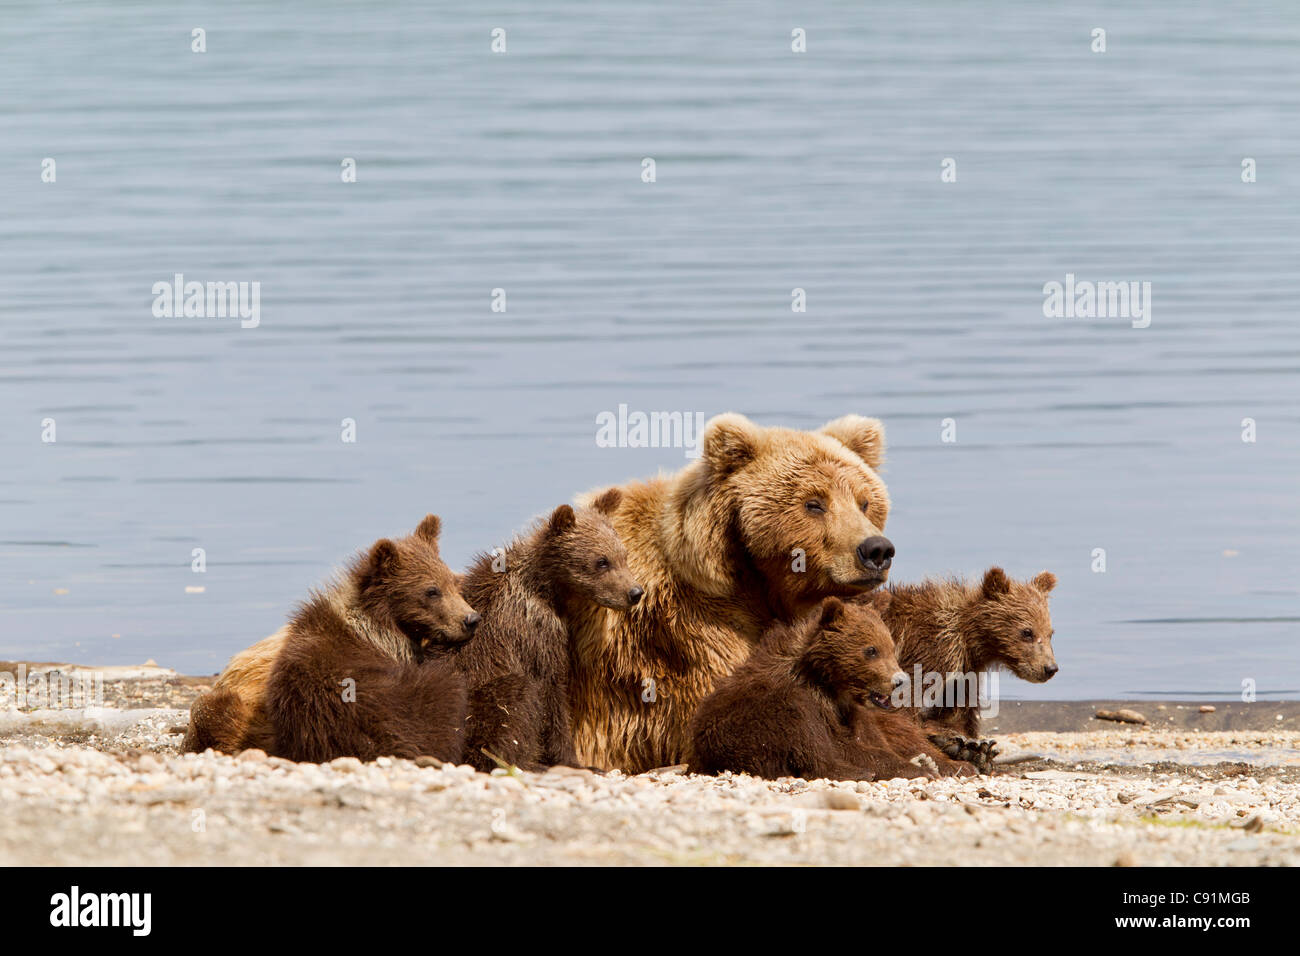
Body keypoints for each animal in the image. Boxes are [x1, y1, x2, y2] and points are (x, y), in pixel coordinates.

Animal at [447, 492, 643, 772]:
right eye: (601, 561)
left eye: (623, 555)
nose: (635, 592)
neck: (548, 589)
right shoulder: (537, 631)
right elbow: (551, 691)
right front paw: (576, 761)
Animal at [688, 595, 974, 781]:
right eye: (871, 650)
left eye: (891, 647)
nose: (899, 680)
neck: (829, 683)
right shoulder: (814, 703)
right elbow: (843, 745)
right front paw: (914, 768)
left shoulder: (854, 713)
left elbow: (875, 738)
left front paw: (946, 764)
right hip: (748, 722)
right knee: (805, 737)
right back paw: (860, 772)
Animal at [873, 567, 1058, 770]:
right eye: (1027, 632)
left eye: (1050, 633)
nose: (1049, 668)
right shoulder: (922, 653)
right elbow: (902, 709)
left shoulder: (964, 674)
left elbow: (957, 713)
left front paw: (972, 748)